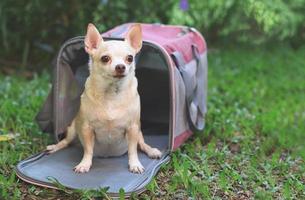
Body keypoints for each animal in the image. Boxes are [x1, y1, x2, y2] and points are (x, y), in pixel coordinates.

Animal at [46, 23, 162, 173]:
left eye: (130, 58)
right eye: (105, 58)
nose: (120, 66)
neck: (112, 93)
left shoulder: (133, 128)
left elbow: (133, 150)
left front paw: (135, 164)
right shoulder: (86, 128)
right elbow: (88, 150)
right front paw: (84, 164)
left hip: (139, 132)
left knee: (141, 144)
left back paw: (152, 151)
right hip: (72, 129)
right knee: (65, 142)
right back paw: (55, 147)